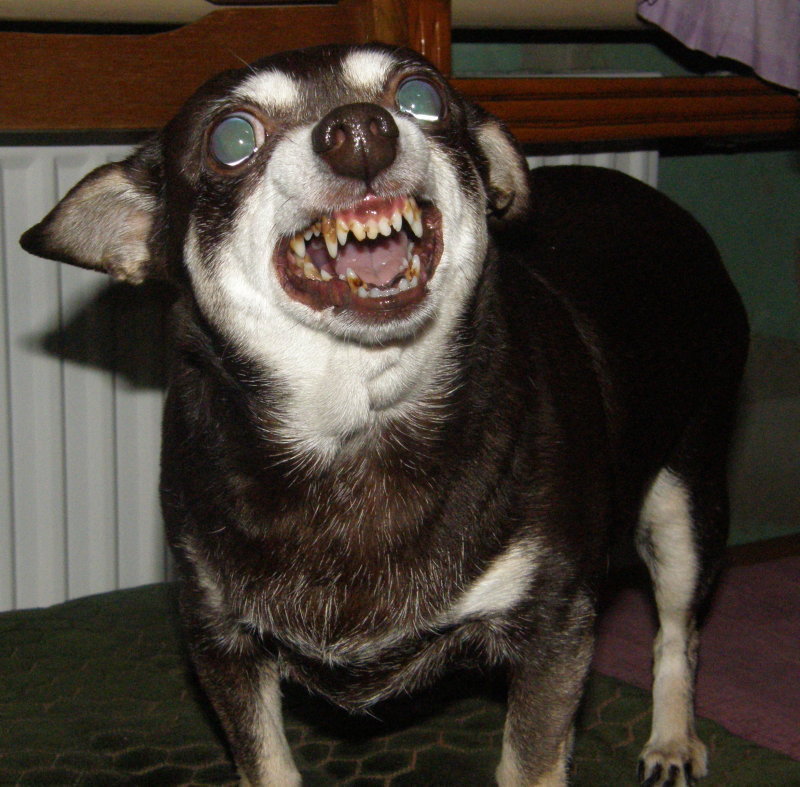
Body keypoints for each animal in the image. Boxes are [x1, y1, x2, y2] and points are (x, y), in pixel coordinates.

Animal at [21, 43, 748, 786]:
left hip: (685, 507)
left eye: (422, 97)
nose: (361, 130)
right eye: (231, 140)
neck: (358, 421)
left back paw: (672, 738)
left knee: (677, 633)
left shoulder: (556, 626)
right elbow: (265, 761)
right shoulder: (219, 637)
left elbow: (531, 760)